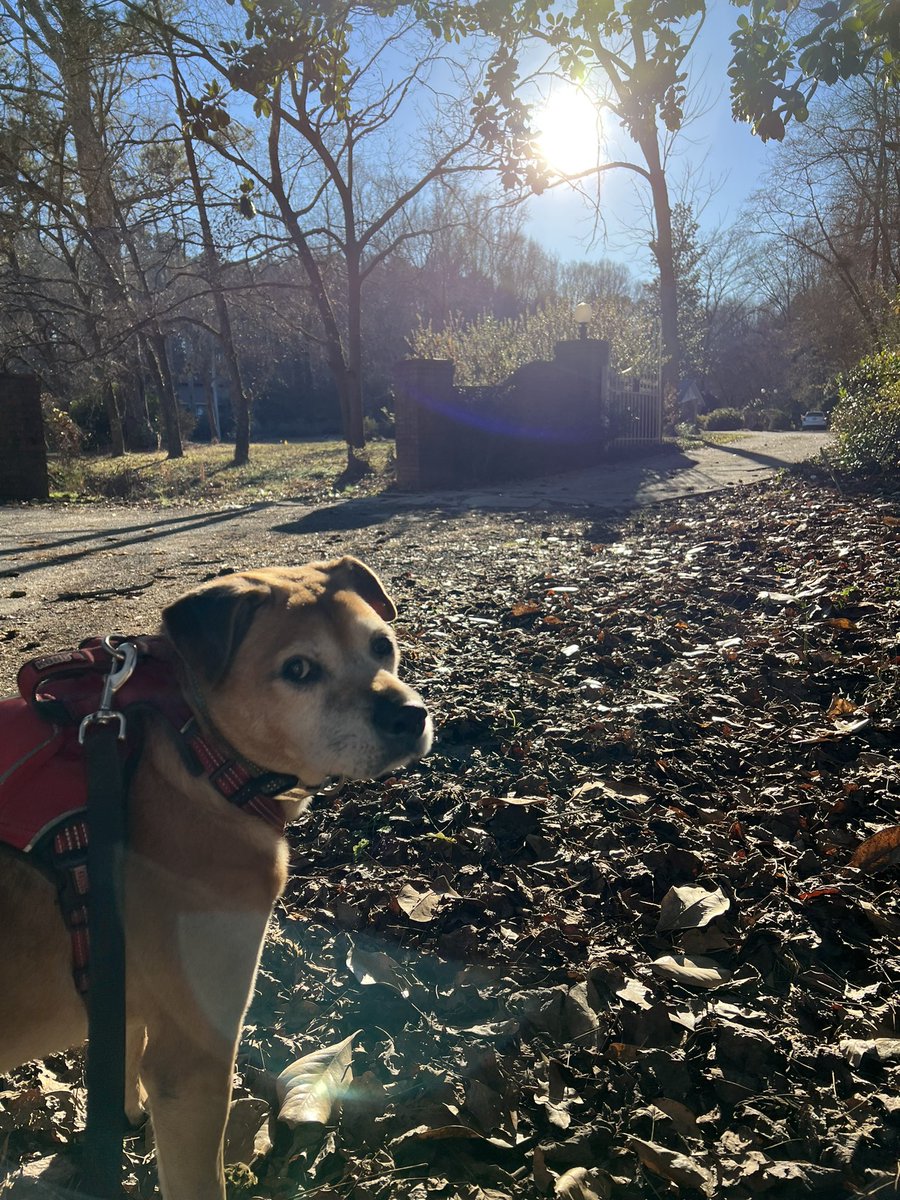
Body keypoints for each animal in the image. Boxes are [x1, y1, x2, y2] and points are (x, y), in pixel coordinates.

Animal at [0, 559, 434, 1200]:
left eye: (383, 646)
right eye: (298, 669)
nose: (410, 715)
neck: (198, 751)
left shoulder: (126, 1002)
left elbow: (121, 1062)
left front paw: (122, 1121)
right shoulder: (193, 1066)